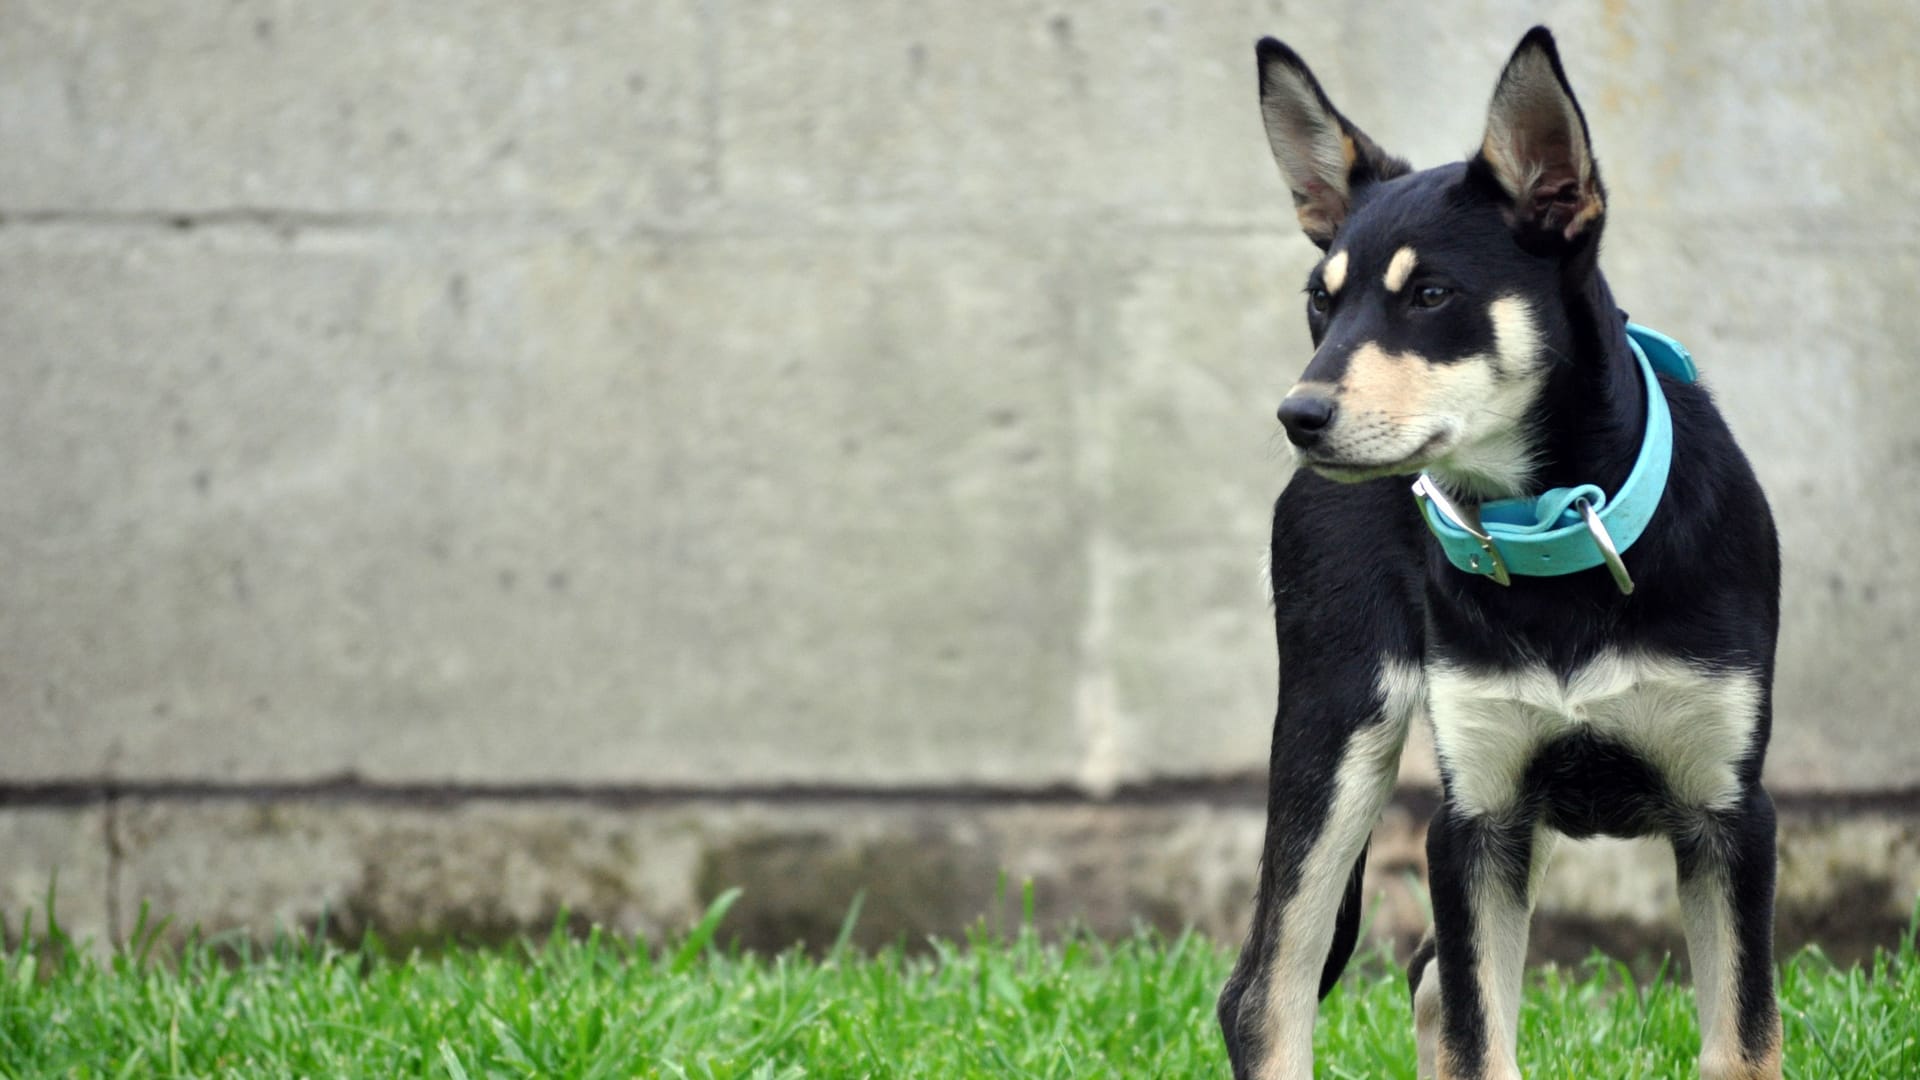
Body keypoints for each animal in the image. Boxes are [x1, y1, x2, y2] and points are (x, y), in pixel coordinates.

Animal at [1213, 25, 1781, 1076]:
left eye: (1433, 294)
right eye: (1321, 304)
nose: (1297, 415)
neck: (1559, 532)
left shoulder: (1729, 815)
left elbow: (1742, 1042)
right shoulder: (1471, 821)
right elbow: (1481, 1039)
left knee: (1430, 981)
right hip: (1338, 718)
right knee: (1267, 997)